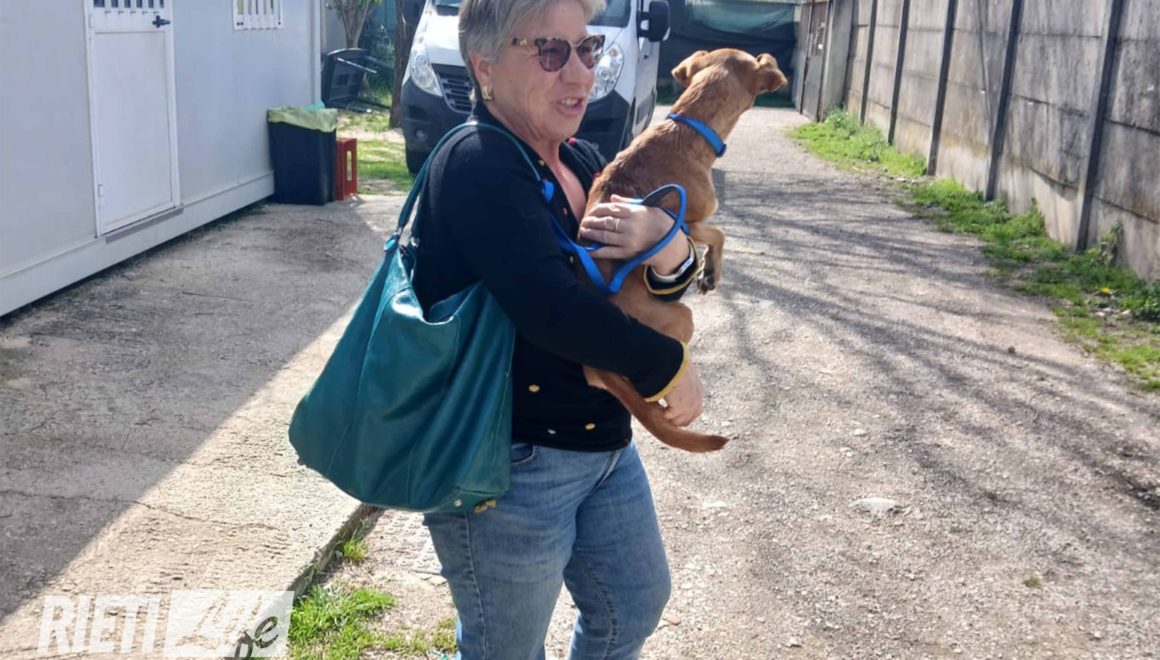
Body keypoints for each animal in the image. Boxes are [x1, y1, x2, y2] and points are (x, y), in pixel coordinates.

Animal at [581, 49, 788, 453]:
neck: (686, 127)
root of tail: (598, 367)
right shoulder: (686, 223)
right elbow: (720, 233)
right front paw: (710, 272)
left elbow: (716, 235)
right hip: (682, 317)